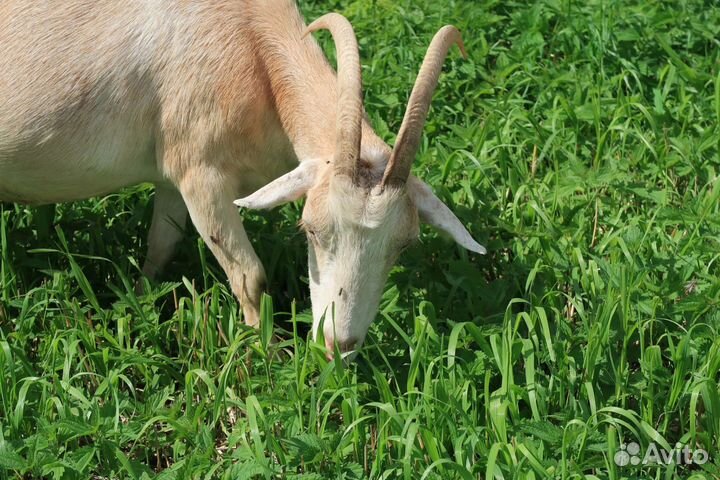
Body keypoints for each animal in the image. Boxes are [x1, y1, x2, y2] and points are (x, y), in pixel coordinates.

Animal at [0, 1, 485, 359]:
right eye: (310, 229)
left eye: (403, 245)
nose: (337, 347)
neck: (248, 37)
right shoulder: (201, 175)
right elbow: (250, 276)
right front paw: (266, 355)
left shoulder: (173, 174)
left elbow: (161, 247)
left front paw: (138, 300)